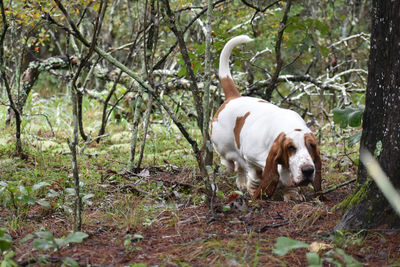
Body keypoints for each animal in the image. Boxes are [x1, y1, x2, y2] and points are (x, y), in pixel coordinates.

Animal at [211, 36, 324, 203]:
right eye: (290, 148)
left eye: (311, 146)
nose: (308, 170)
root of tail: (234, 97)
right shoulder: (251, 159)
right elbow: (257, 175)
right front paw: (254, 191)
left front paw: (292, 194)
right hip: (223, 148)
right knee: (232, 164)